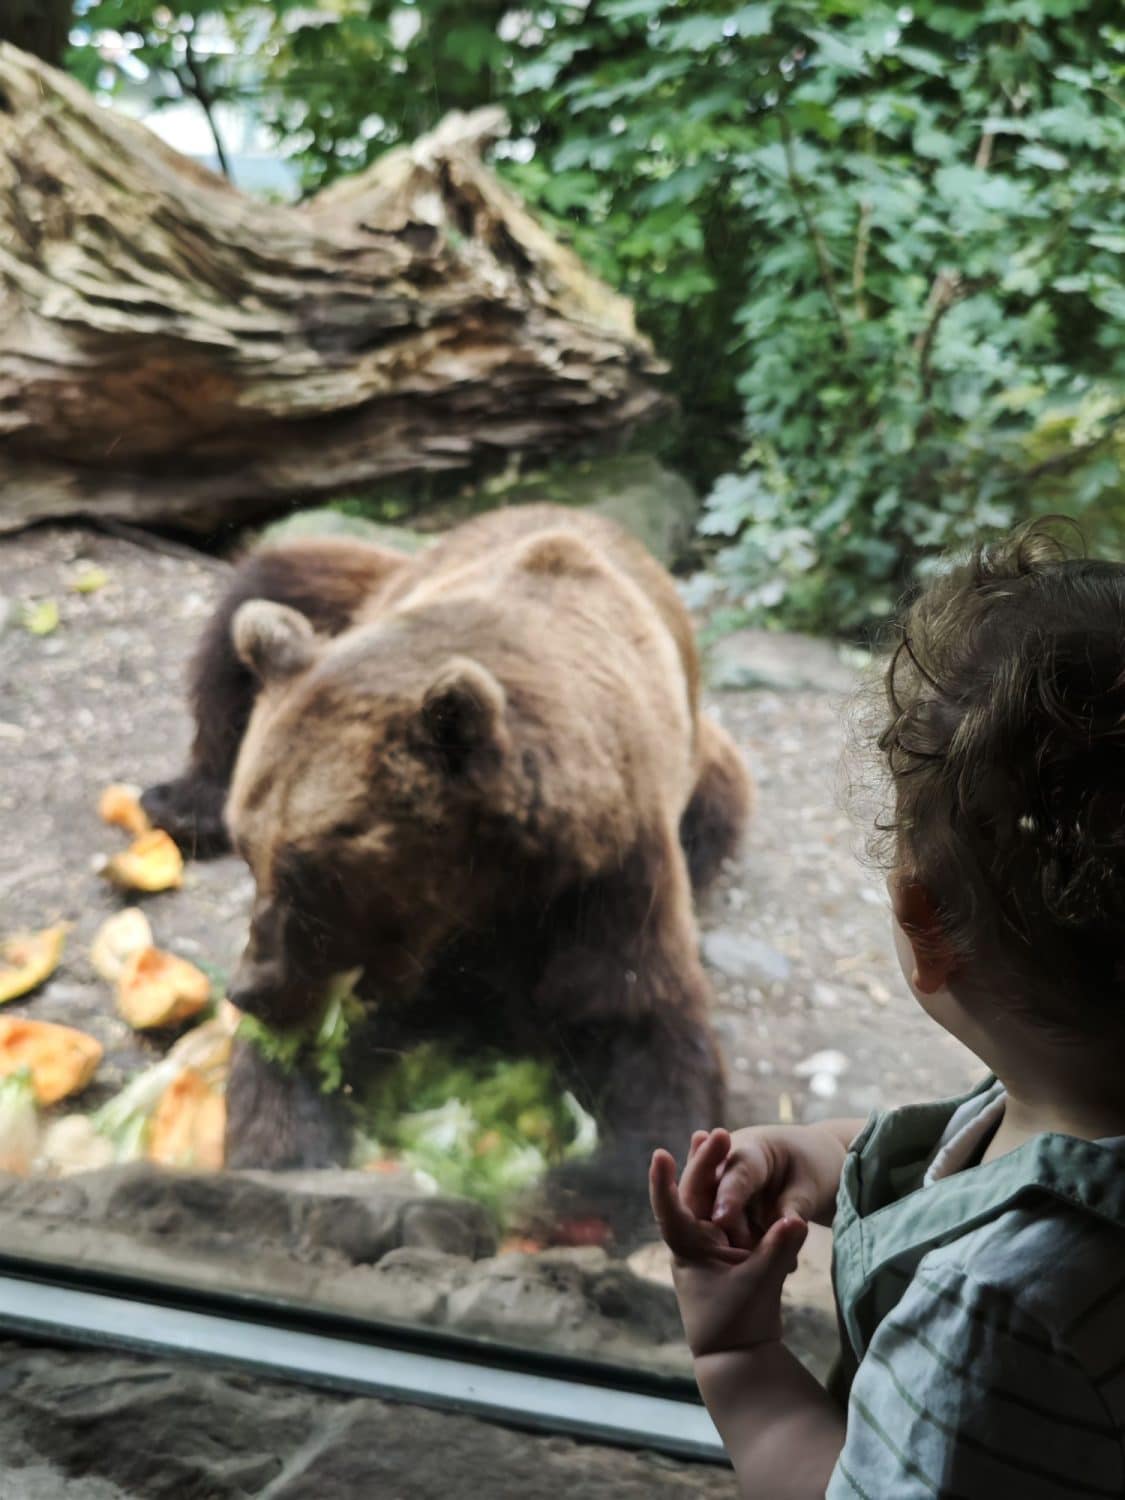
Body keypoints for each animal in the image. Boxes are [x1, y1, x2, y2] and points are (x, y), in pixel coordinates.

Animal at [142, 504, 753, 1244]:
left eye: (309, 874)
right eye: (253, 853)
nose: (249, 990)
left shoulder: (605, 881)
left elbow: (644, 1030)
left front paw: (576, 1192)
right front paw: (290, 1152)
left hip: (707, 778)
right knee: (255, 599)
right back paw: (179, 799)